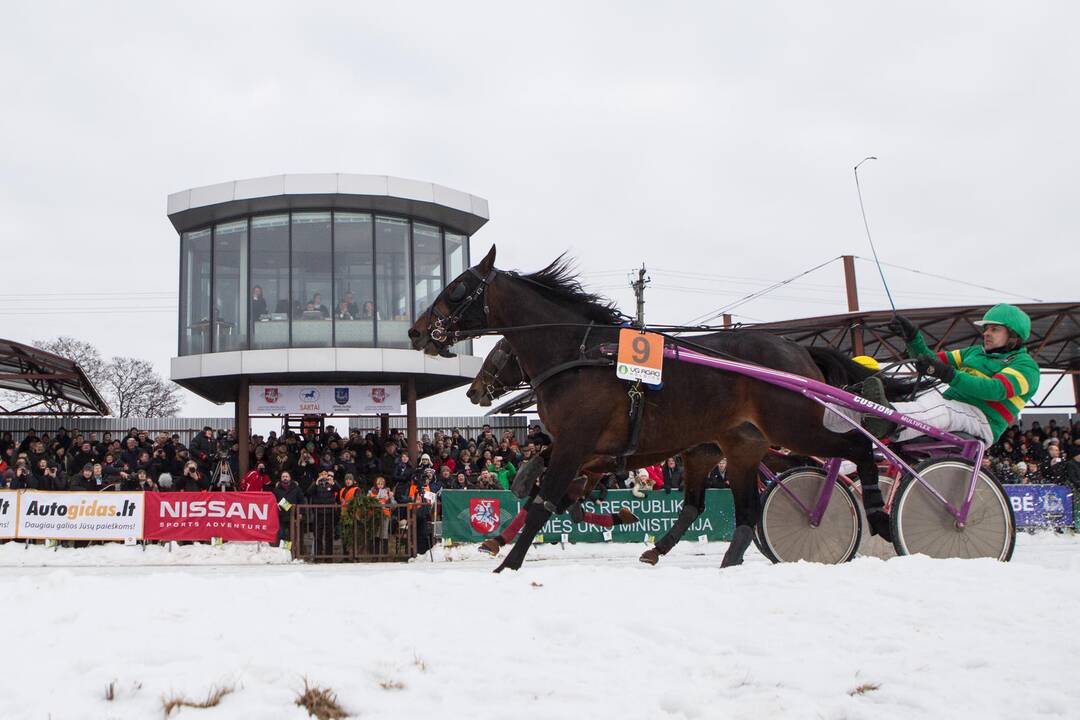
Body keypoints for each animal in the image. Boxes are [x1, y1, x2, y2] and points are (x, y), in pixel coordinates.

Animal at [410, 249, 894, 574]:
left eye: (455, 288)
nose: (417, 332)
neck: (579, 355)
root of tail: (800, 352)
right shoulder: (586, 452)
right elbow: (545, 490)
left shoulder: (577, 445)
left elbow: (547, 497)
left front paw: (507, 562)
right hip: (737, 448)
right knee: (736, 510)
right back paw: (710, 556)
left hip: (793, 425)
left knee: (856, 448)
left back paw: (879, 517)